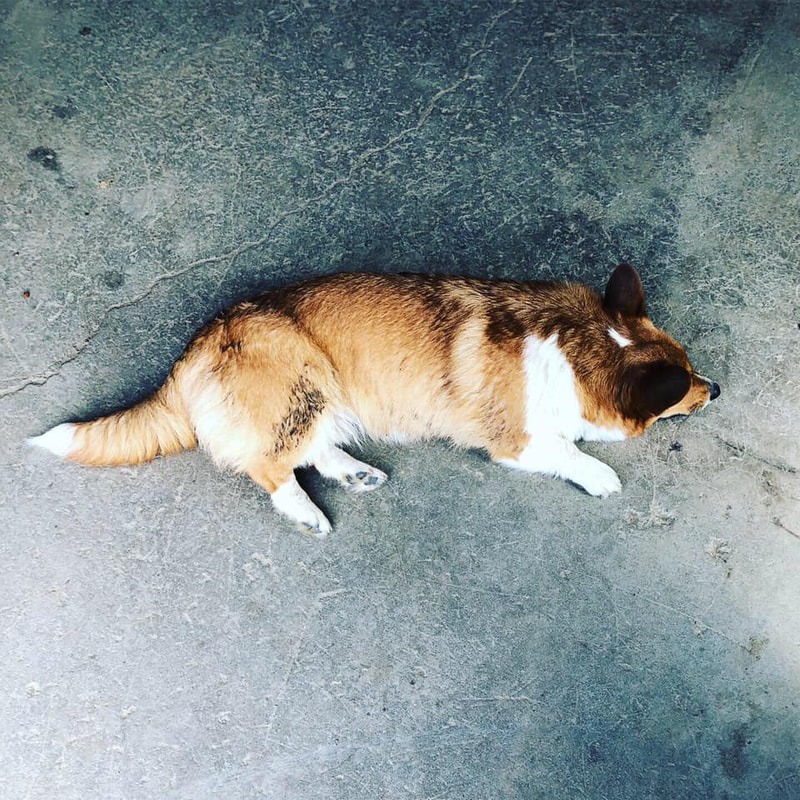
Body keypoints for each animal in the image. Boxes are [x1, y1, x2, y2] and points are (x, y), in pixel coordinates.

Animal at [29, 264, 720, 536]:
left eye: (691, 368)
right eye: (683, 385)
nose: (716, 388)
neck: (581, 351)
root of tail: (194, 347)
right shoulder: (518, 442)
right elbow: (570, 452)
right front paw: (601, 476)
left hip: (324, 398)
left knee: (311, 450)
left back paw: (357, 473)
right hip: (305, 382)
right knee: (268, 464)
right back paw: (306, 513)